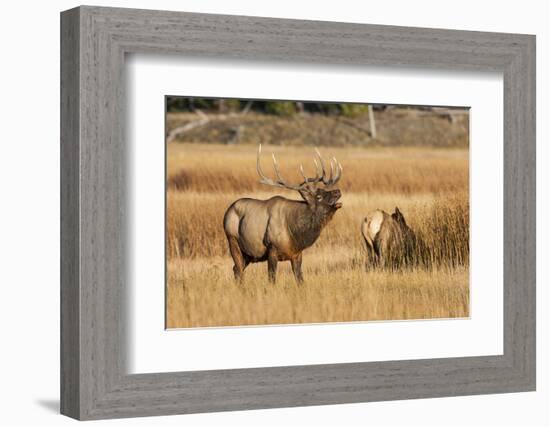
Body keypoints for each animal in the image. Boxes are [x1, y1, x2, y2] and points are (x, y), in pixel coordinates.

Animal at [222, 145, 342, 286]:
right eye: (319, 196)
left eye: (323, 190)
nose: (337, 191)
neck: (295, 234)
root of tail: (226, 213)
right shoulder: (272, 249)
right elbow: (272, 279)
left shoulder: (296, 254)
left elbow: (300, 280)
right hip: (232, 240)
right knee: (238, 268)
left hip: (249, 254)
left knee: (236, 269)